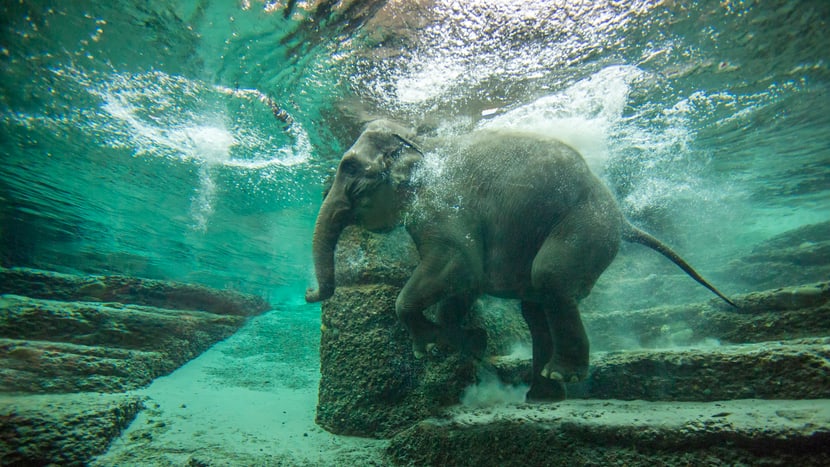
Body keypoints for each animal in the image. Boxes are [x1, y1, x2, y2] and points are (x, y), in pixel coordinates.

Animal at [308, 119, 736, 400]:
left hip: (584, 225)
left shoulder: (442, 204)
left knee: (550, 279)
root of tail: (622, 218)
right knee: (536, 307)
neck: (420, 140)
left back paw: (563, 375)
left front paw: (430, 348)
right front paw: (469, 343)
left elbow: (457, 264)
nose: (310, 293)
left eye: (349, 167)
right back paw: (542, 393)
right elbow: (463, 284)